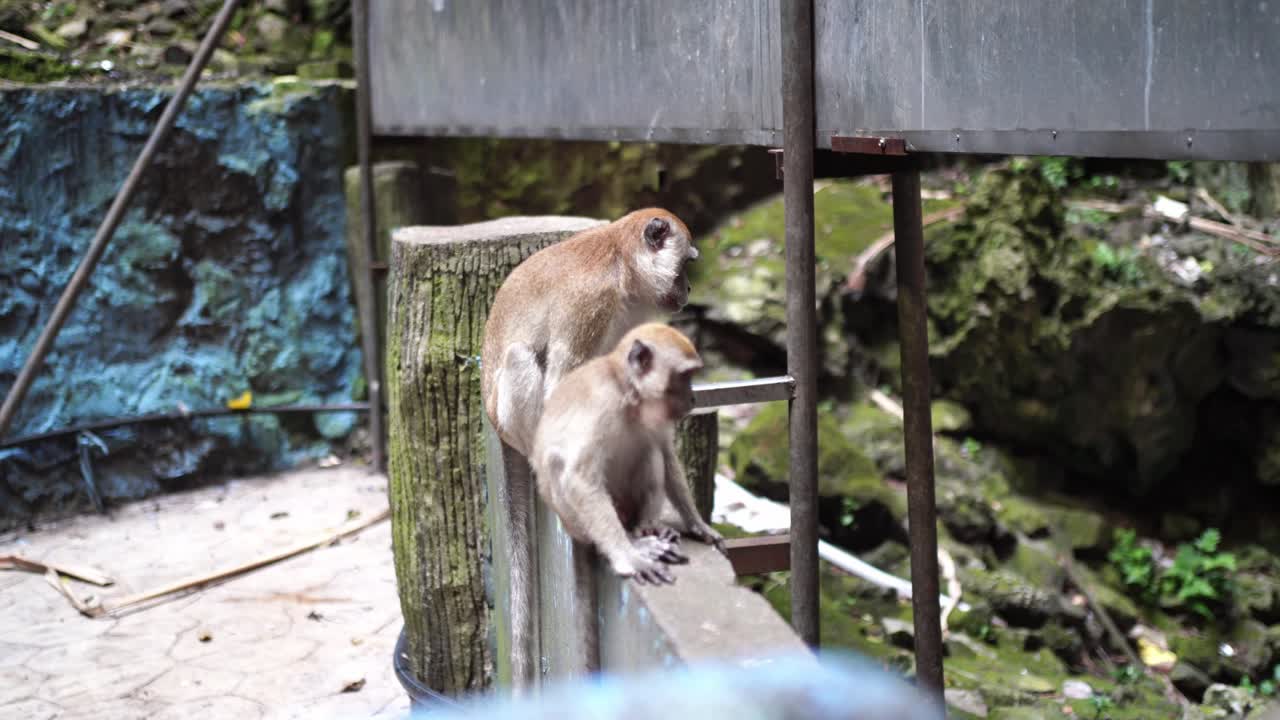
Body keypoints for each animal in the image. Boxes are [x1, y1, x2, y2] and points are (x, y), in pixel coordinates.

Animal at [479, 209, 700, 690]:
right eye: (685, 265)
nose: (689, 288)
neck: (620, 262)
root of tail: (495, 424)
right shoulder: (591, 302)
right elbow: (564, 377)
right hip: (514, 418)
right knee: (522, 358)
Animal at [530, 323, 726, 585]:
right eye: (685, 376)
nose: (693, 398)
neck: (628, 394)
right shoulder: (601, 404)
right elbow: (579, 479)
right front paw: (629, 557)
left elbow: (667, 454)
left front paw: (698, 524)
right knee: (557, 465)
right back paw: (635, 543)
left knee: (651, 451)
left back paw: (646, 526)